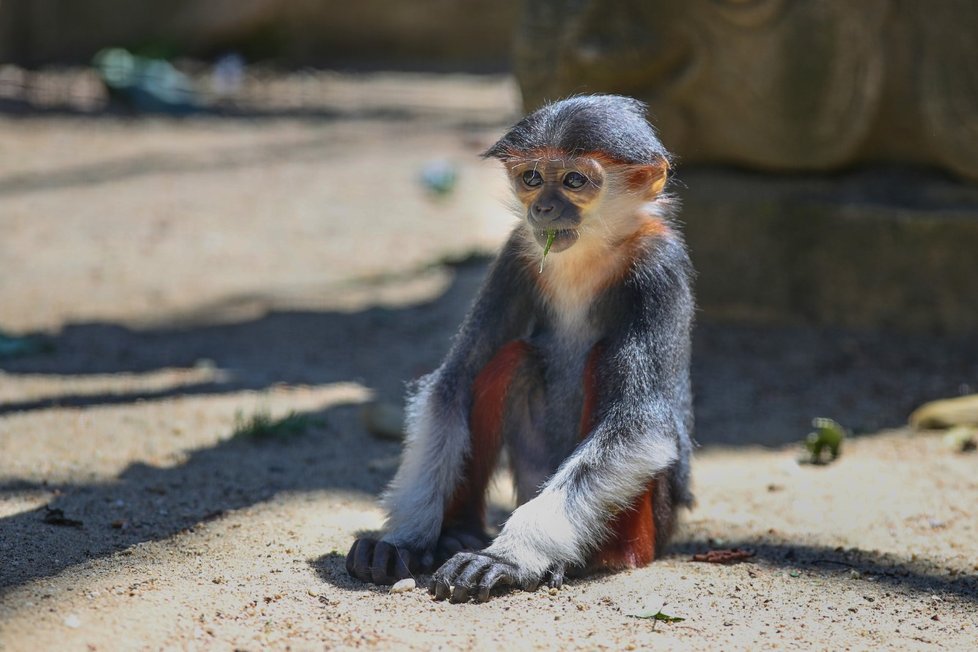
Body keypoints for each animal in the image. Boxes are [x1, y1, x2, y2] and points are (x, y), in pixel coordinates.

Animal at [346, 94, 692, 604]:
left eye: (573, 181)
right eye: (531, 178)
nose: (544, 209)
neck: (587, 258)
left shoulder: (658, 270)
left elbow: (640, 429)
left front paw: (508, 557)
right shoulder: (516, 254)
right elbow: (450, 384)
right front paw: (404, 540)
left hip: (652, 521)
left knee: (605, 361)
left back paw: (586, 559)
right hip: (531, 472)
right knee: (510, 360)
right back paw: (459, 532)